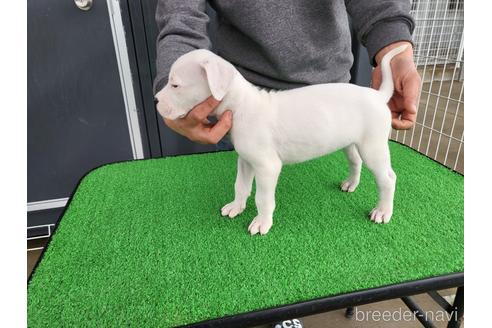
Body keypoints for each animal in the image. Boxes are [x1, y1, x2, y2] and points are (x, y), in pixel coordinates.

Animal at [156, 45, 406, 236]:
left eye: (175, 85)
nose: (156, 99)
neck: (240, 105)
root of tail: (378, 95)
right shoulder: (246, 161)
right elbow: (241, 186)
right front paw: (236, 206)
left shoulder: (267, 167)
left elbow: (262, 198)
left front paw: (262, 222)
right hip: (351, 142)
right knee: (356, 162)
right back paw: (351, 184)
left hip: (373, 147)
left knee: (388, 179)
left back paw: (383, 211)